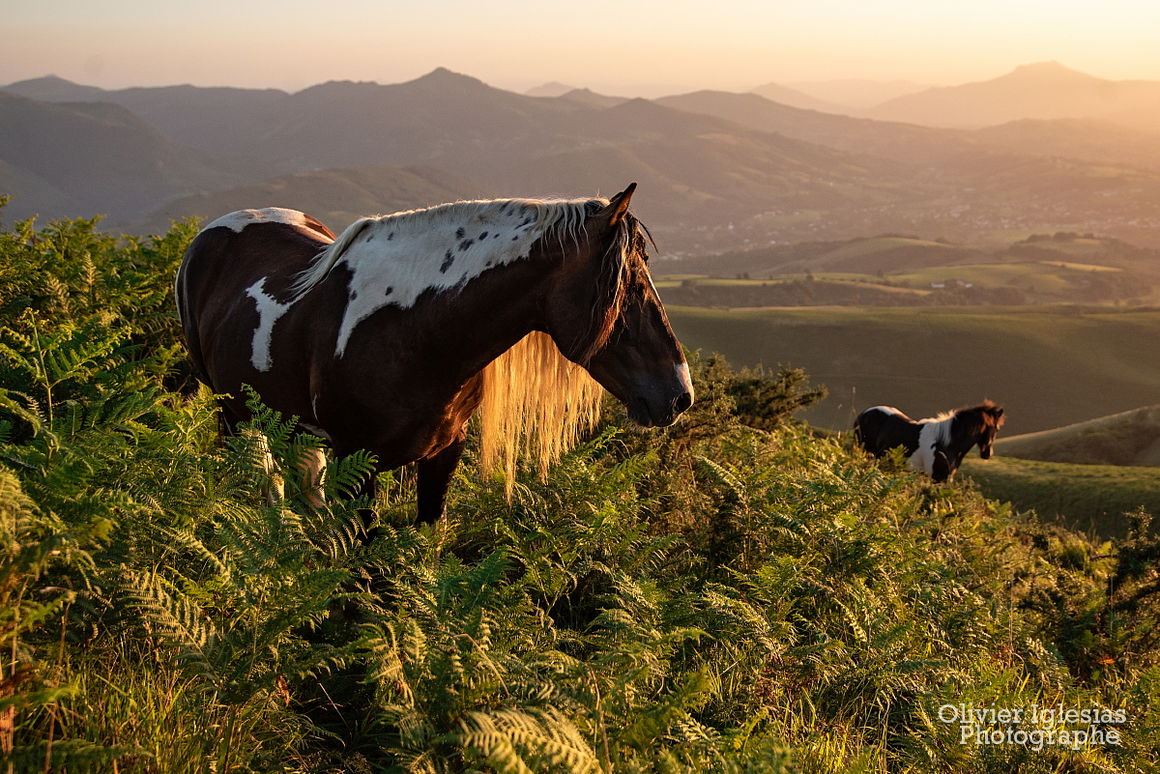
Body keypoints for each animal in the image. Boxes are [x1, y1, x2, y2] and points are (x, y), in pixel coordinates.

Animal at [176, 184, 691, 524]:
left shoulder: (444, 453)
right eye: (625, 286)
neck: (415, 331)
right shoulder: (356, 462)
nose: (680, 394)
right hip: (234, 415)